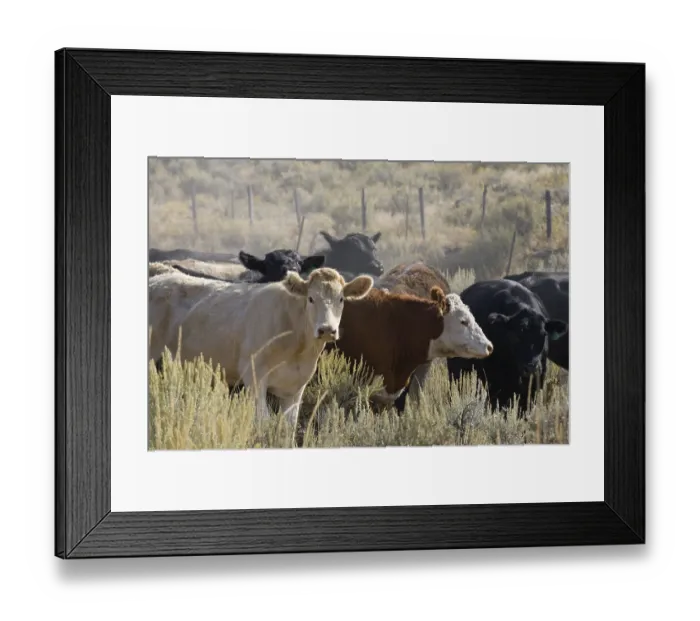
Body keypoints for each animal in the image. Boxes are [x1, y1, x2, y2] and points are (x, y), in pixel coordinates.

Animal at [148, 267, 374, 429]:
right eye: (311, 298)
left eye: (341, 299)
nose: (327, 329)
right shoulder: (254, 376)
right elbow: (262, 421)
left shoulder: (296, 386)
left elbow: (289, 426)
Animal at [446, 279, 568, 417]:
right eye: (515, 336)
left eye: (543, 335)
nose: (531, 367)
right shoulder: (496, 381)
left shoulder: (535, 381)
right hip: (457, 370)